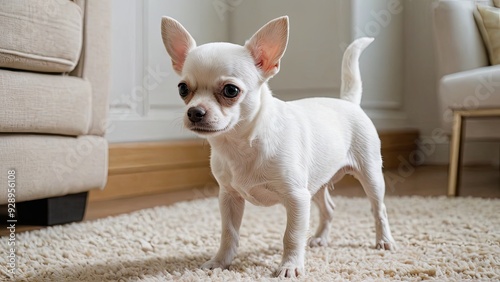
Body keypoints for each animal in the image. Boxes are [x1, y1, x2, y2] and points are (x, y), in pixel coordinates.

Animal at [160, 16, 394, 278]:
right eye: (182, 89)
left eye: (231, 90)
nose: (194, 112)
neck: (241, 144)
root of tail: (348, 102)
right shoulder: (229, 198)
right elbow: (229, 234)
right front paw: (220, 262)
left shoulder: (297, 198)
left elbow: (291, 235)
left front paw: (289, 266)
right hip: (315, 185)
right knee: (329, 208)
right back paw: (321, 238)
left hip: (370, 176)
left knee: (379, 209)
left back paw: (384, 240)